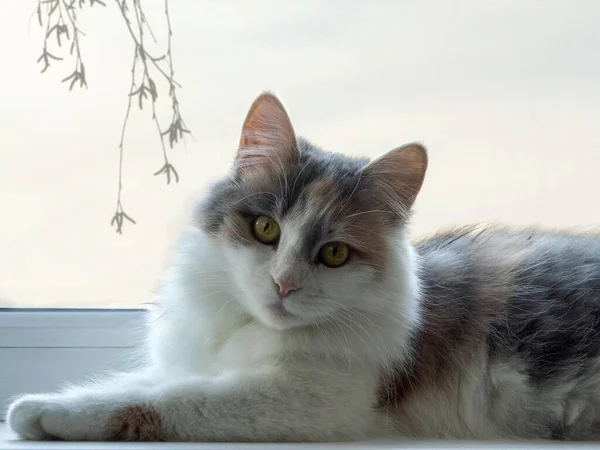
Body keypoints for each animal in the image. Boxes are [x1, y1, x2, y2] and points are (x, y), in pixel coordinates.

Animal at [7, 93, 600, 442]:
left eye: (334, 253)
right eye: (265, 228)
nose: (283, 283)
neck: (247, 329)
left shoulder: (310, 399)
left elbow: (163, 400)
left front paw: (45, 414)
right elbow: (131, 383)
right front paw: (42, 405)